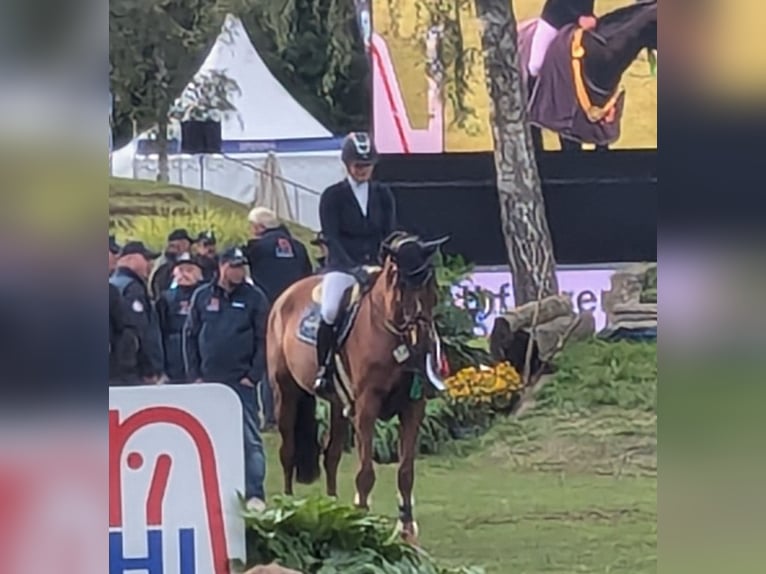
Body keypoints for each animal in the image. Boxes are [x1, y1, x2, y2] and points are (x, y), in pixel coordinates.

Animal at [268, 233, 450, 544]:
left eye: (431, 284)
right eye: (401, 284)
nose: (422, 344)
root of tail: (285, 295)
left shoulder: (413, 406)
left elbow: (406, 472)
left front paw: (406, 531)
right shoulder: (367, 406)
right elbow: (365, 473)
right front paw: (364, 524)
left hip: (337, 404)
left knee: (331, 456)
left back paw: (331, 509)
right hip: (286, 391)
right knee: (288, 450)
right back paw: (287, 506)